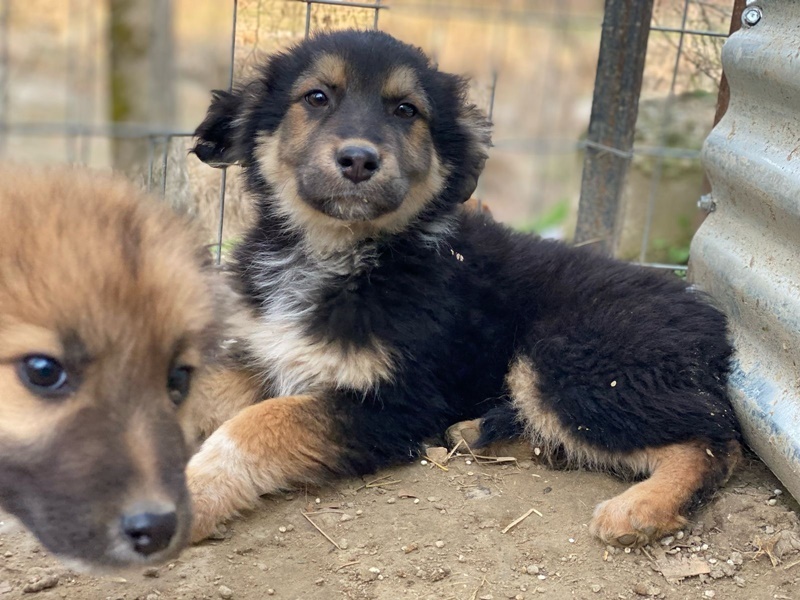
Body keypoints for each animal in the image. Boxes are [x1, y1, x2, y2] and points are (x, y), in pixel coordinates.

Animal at [187, 29, 742, 548]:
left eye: (406, 110)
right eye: (316, 97)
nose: (359, 160)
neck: (336, 253)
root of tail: (709, 319)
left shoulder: (398, 401)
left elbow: (262, 423)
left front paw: (193, 496)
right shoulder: (264, 350)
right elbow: (200, 392)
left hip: (572, 361)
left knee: (716, 439)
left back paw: (640, 508)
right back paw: (477, 432)